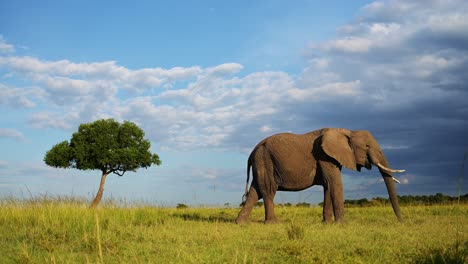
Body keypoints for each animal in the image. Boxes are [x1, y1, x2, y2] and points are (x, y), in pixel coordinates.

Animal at [236, 128, 404, 223]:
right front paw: (341, 224)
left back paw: (240, 223)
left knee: (255, 192)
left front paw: (327, 223)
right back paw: (274, 223)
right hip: (265, 160)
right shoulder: (324, 156)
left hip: (262, 162)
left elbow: (328, 186)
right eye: (367, 146)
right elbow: (335, 183)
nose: (401, 221)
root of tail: (252, 152)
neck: (347, 131)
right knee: (268, 190)